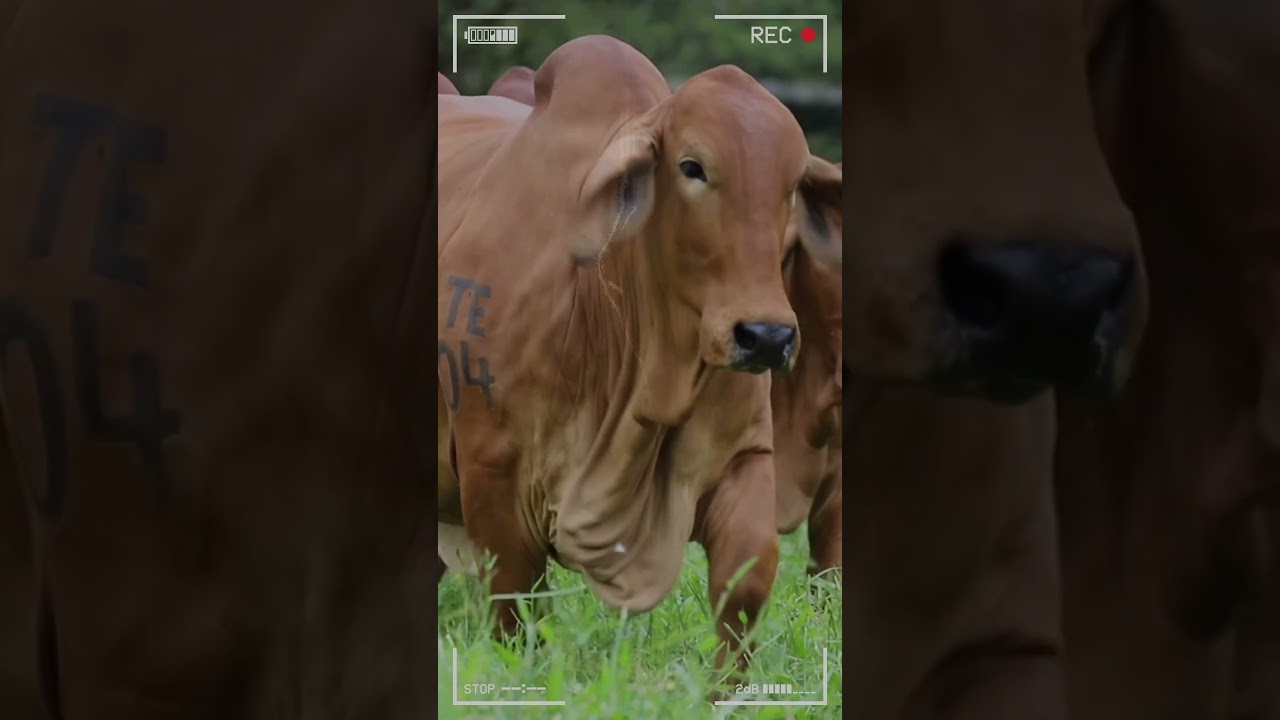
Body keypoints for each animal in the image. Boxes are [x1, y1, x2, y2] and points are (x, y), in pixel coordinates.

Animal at [436, 35, 842, 691]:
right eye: (692, 166)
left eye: (791, 186)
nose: (766, 337)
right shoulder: (493, 477)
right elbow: (516, 615)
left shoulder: (748, 455)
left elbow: (748, 579)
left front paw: (723, 694)